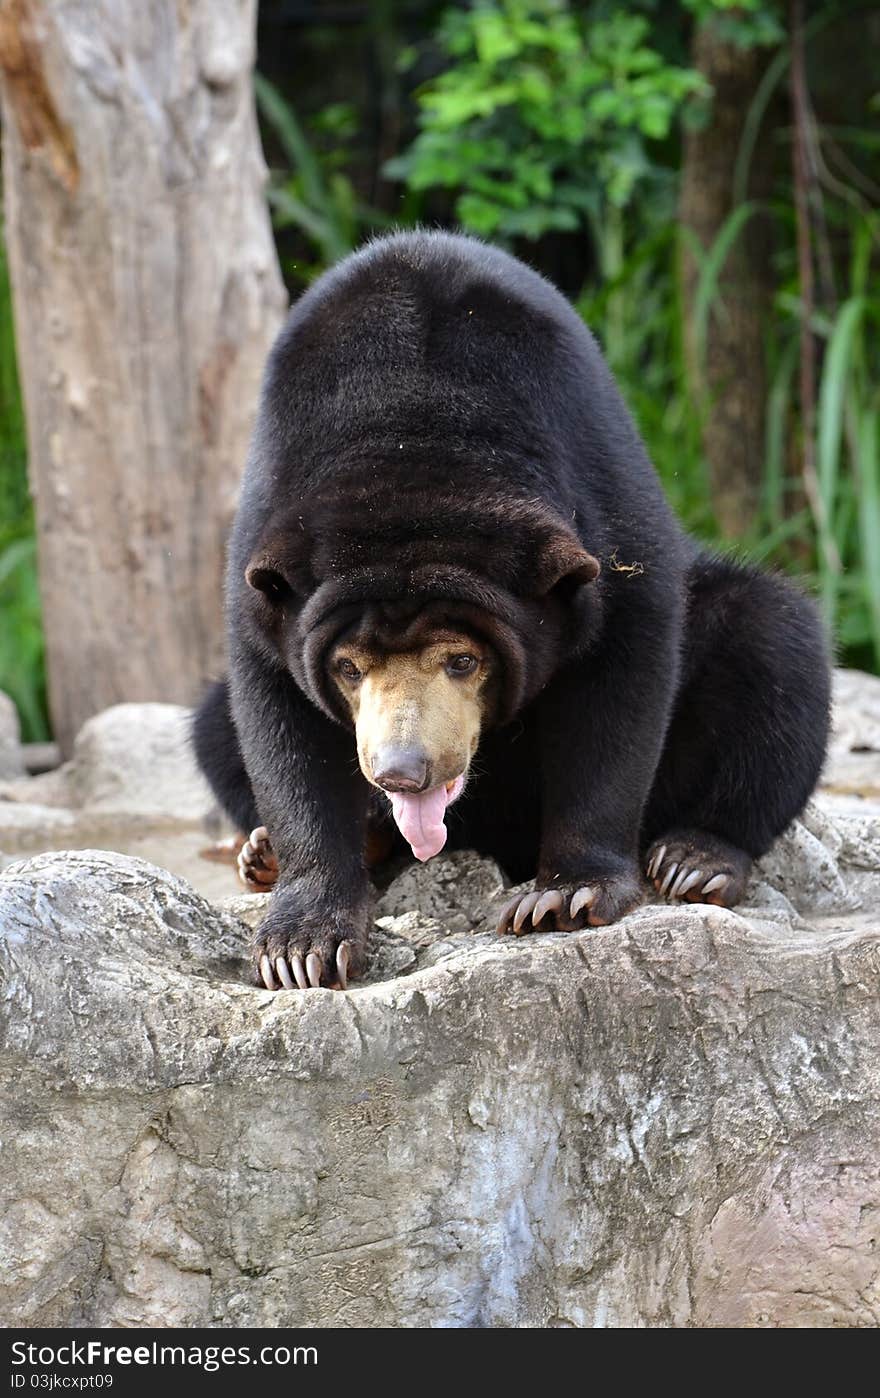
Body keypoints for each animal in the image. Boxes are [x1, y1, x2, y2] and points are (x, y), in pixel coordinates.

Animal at [194, 232, 828, 995]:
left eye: (463, 660)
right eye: (348, 668)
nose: (403, 773)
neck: (411, 437)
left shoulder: (596, 488)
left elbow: (621, 677)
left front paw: (565, 897)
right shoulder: (266, 555)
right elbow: (277, 720)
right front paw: (299, 947)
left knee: (772, 640)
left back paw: (696, 859)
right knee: (212, 722)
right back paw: (269, 853)